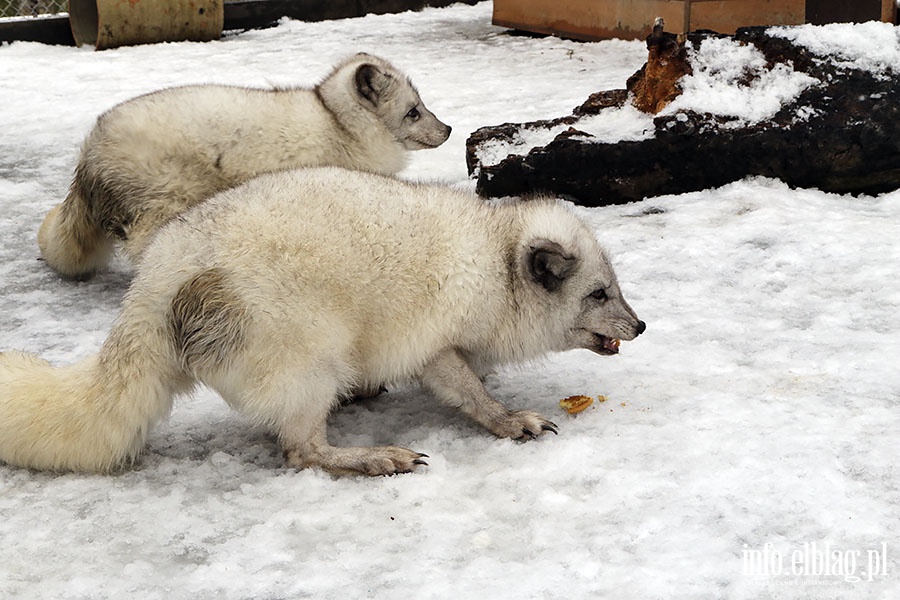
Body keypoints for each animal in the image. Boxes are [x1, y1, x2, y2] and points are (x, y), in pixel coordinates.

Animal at [1, 166, 648, 476]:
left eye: (615, 289)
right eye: (598, 294)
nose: (640, 328)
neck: (493, 260)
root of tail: (151, 287)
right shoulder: (433, 345)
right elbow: (467, 391)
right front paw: (508, 419)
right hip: (312, 357)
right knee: (299, 451)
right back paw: (373, 458)